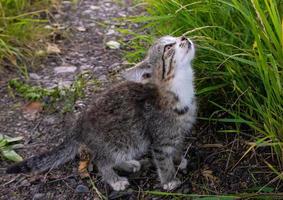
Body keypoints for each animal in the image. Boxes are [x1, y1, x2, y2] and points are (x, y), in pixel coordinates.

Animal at [6, 35, 197, 191]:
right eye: (168, 47)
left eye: (176, 37)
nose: (184, 37)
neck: (180, 88)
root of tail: (78, 125)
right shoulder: (160, 138)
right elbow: (163, 161)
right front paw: (169, 180)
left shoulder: (177, 132)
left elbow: (177, 147)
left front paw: (179, 160)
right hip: (123, 139)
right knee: (102, 161)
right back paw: (114, 180)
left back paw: (128, 164)